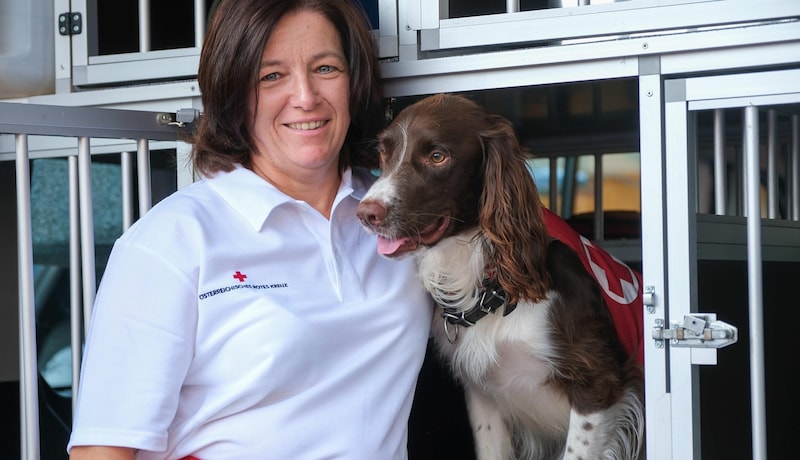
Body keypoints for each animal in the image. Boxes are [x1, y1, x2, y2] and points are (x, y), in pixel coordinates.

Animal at [360, 94, 648, 460]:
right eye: (385, 153)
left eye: (438, 156)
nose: (366, 213)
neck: (492, 285)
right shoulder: (482, 394)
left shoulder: (599, 384)